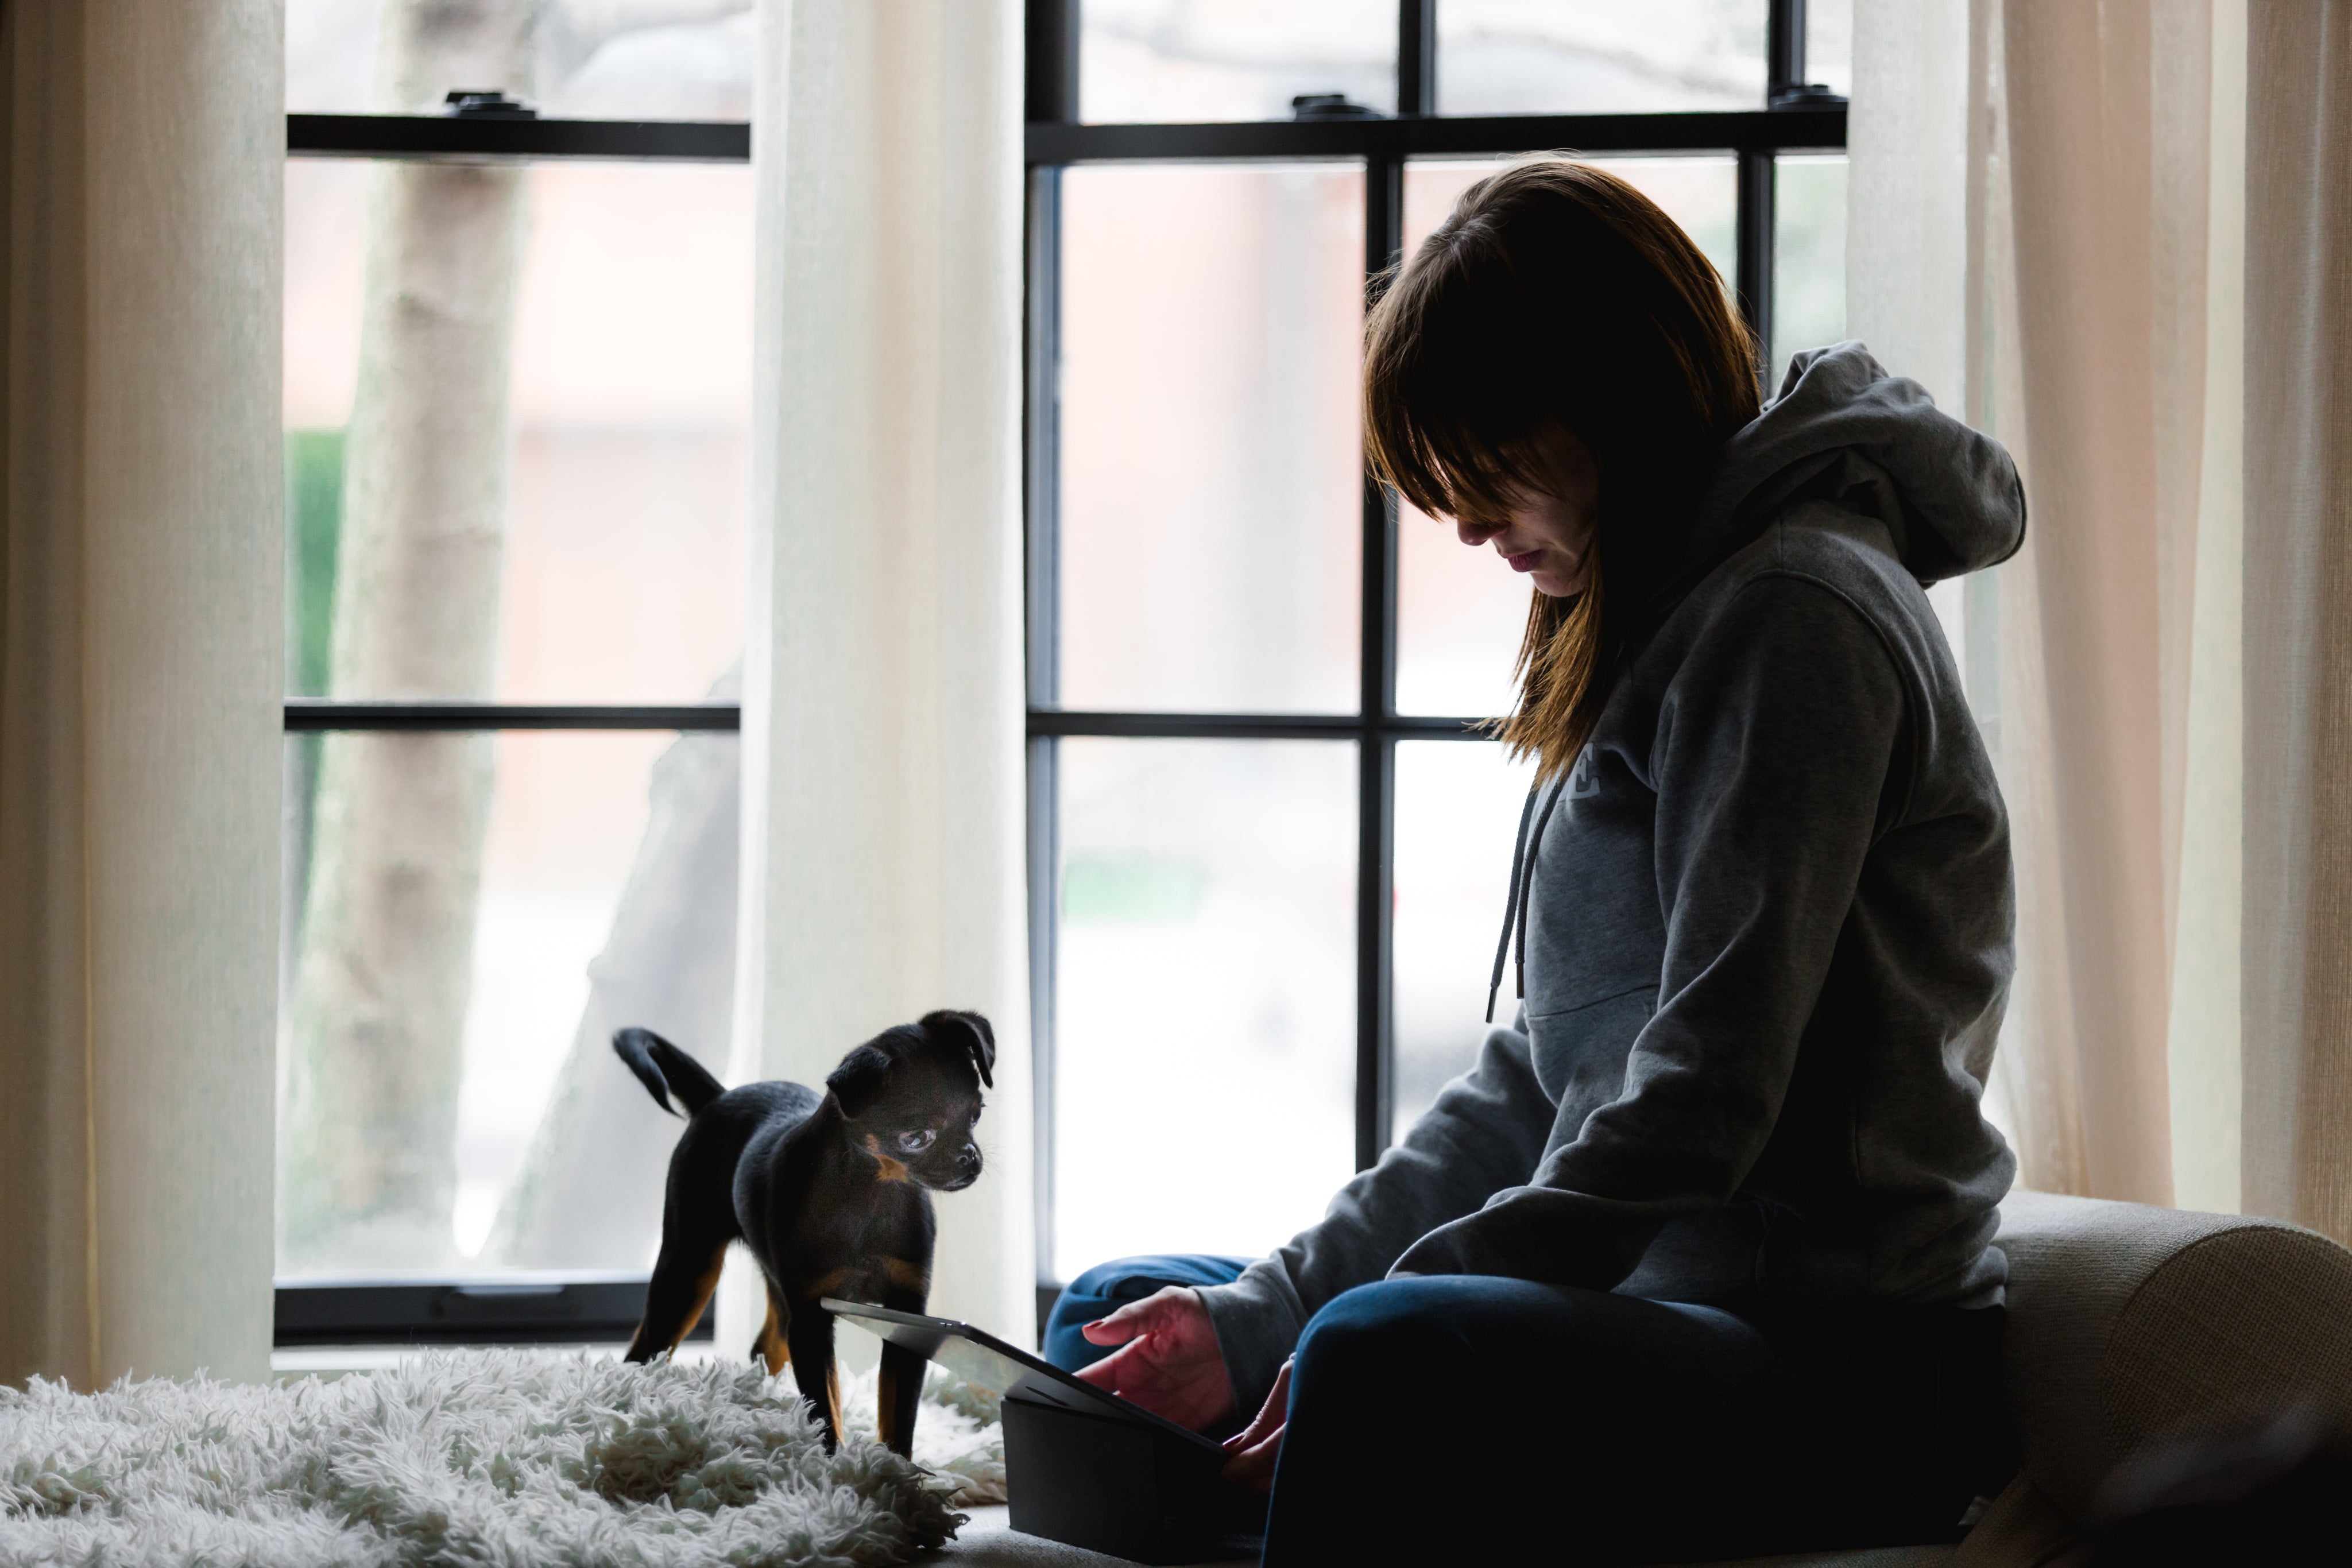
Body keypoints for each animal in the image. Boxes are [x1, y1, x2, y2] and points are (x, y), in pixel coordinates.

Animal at [611, 1020, 988, 1457]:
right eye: (916, 1137)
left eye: (976, 1115)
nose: (969, 1156)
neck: (873, 1191)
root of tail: (718, 1097)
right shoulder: (811, 1319)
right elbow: (825, 1405)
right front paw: (839, 1464)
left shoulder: (906, 1320)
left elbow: (898, 1413)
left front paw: (896, 1469)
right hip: (689, 1269)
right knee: (646, 1349)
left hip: (769, 1283)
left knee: (765, 1346)